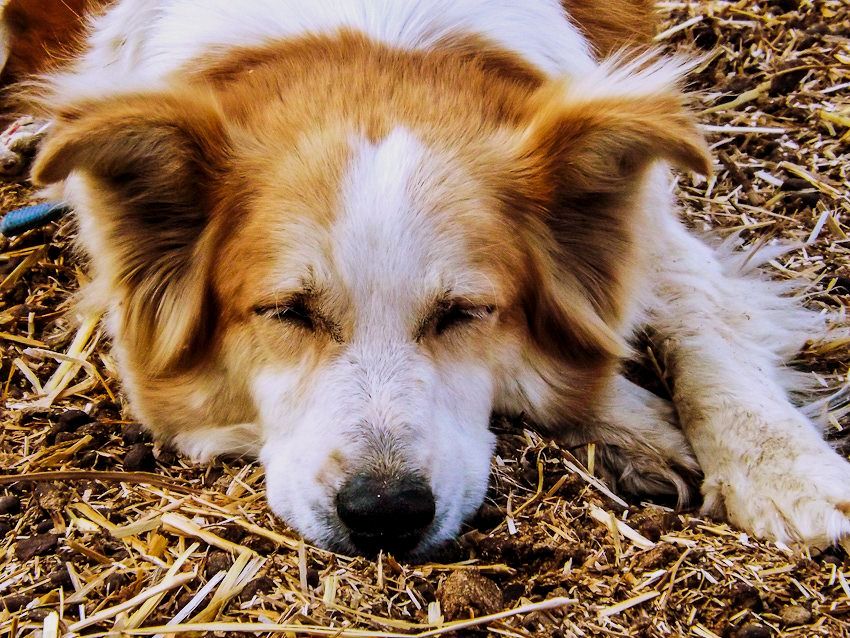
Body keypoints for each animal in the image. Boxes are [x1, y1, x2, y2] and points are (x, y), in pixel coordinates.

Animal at [1, 0, 848, 560]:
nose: (384, 514)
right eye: (287, 312)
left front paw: (785, 470)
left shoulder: (647, 218)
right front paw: (630, 420)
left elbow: (703, 317)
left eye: (464, 313)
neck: (366, 42)